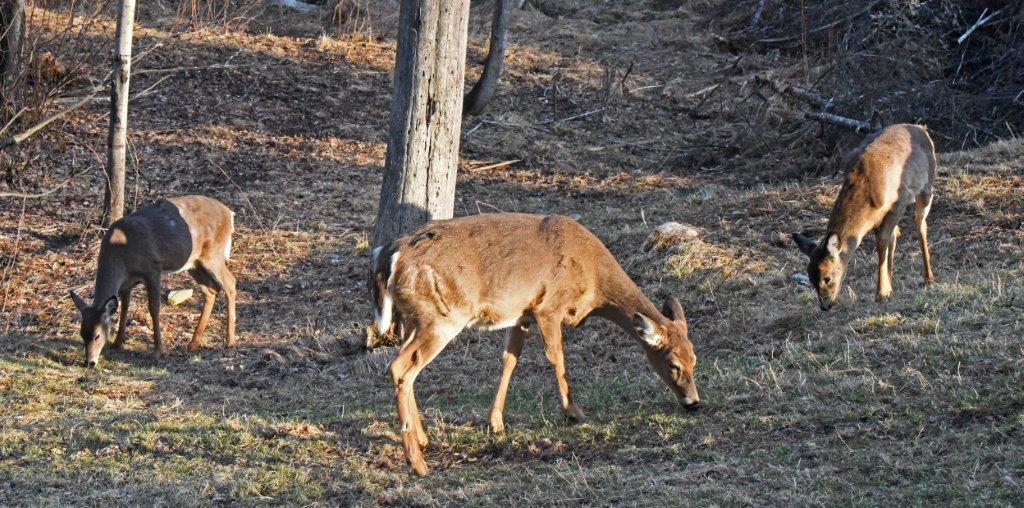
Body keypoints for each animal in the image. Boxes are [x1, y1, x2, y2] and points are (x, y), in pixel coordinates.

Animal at [69, 195, 237, 367]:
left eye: (97, 335)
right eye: (82, 334)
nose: (89, 361)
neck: (121, 256)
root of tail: (229, 213)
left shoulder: (153, 269)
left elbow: (154, 308)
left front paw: (158, 351)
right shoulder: (126, 283)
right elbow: (124, 307)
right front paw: (117, 342)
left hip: (213, 254)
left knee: (230, 283)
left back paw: (230, 341)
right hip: (194, 263)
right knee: (211, 289)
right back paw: (193, 343)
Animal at [369, 213, 699, 476]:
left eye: (695, 360)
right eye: (674, 364)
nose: (694, 403)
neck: (593, 280)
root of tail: (390, 255)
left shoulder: (521, 314)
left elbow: (509, 360)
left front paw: (496, 423)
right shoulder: (549, 306)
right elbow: (557, 358)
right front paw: (573, 412)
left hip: (413, 318)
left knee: (407, 369)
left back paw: (423, 440)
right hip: (441, 316)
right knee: (400, 367)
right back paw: (418, 463)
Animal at [792, 123, 936, 311]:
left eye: (827, 277)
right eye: (810, 278)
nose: (825, 305)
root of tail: (921, 128)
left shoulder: (900, 200)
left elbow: (882, 242)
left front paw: (880, 293)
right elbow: (888, 240)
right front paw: (887, 290)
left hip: (927, 186)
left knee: (920, 225)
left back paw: (928, 278)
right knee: (897, 233)